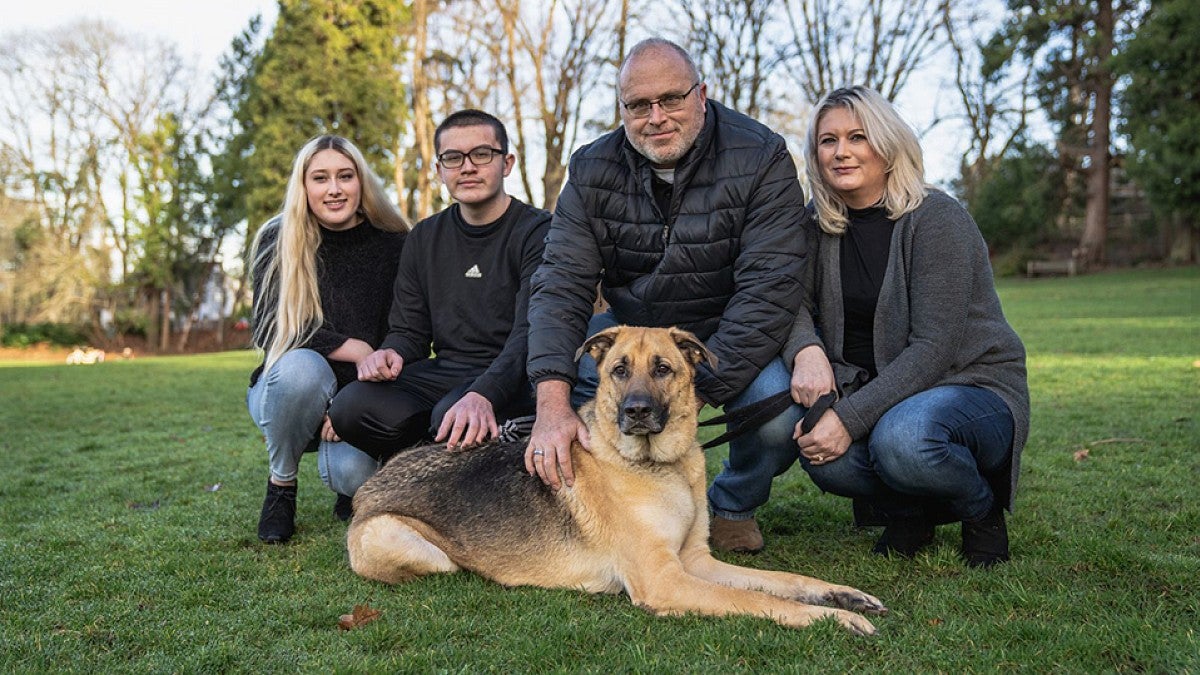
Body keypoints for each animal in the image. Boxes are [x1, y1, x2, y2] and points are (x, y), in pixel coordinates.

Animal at [350, 324, 888, 629]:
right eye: (619, 370)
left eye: (664, 369)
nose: (637, 411)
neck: (661, 467)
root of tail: (367, 489)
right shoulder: (666, 580)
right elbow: (755, 600)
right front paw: (828, 618)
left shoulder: (696, 562)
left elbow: (781, 580)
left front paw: (842, 596)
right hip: (415, 548)